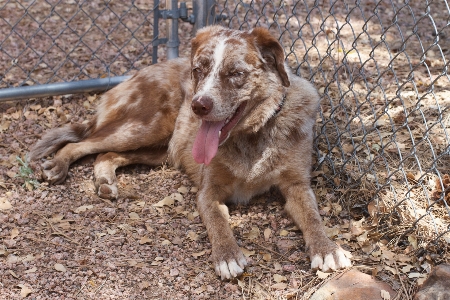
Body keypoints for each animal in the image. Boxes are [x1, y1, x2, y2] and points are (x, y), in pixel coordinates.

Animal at [29, 25, 352, 278]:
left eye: (236, 73)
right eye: (199, 70)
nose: (198, 105)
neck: (253, 136)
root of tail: (140, 72)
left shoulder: (297, 185)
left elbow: (312, 216)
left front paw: (327, 248)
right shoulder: (208, 192)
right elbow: (219, 222)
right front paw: (227, 256)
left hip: (159, 149)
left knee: (106, 155)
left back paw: (106, 181)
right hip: (144, 128)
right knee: (81, 144)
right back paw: (58, 166)